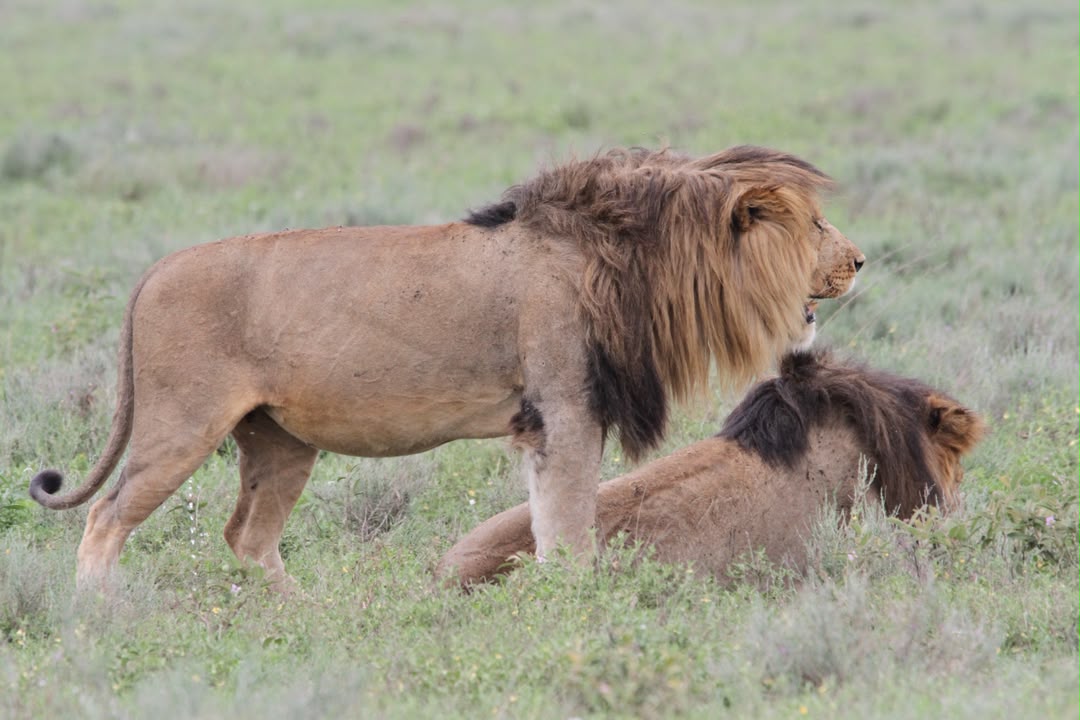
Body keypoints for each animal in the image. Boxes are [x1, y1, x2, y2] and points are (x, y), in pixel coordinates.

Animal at [29, 145, 864, 590]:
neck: (636, 258)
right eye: (816, 224)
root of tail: (153, 271)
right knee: (106, 519)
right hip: (182, 423)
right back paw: (101, 617)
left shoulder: (548, 421)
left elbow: (550, 520)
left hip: (278, 441)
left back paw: (303, 614)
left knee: (247, 536)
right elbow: (569, 527)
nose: (860, 260)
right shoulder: (566, 409)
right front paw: (577, 604)